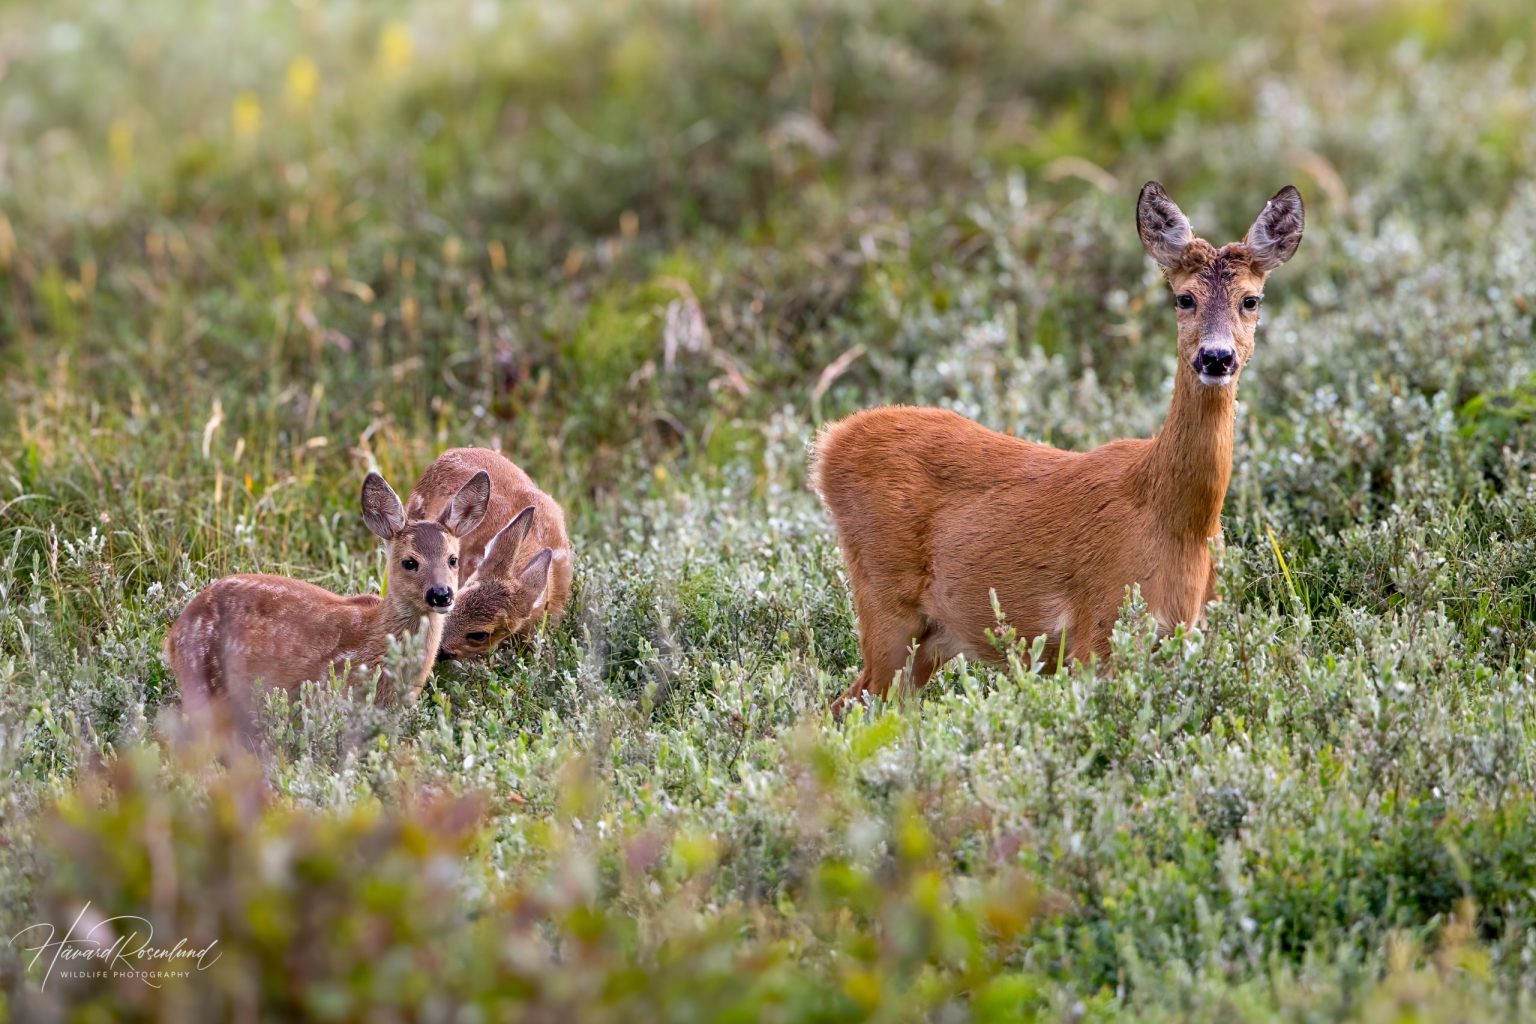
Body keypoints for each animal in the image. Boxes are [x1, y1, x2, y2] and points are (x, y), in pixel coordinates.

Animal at [811, 181, 1303, 710]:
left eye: (1251, 299)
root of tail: (830, 445)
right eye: (1183, 298)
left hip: (931, 638)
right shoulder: (1098, 630)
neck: (1177, 520)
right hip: (885, 599)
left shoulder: (1186, 630)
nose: (1216, 357)